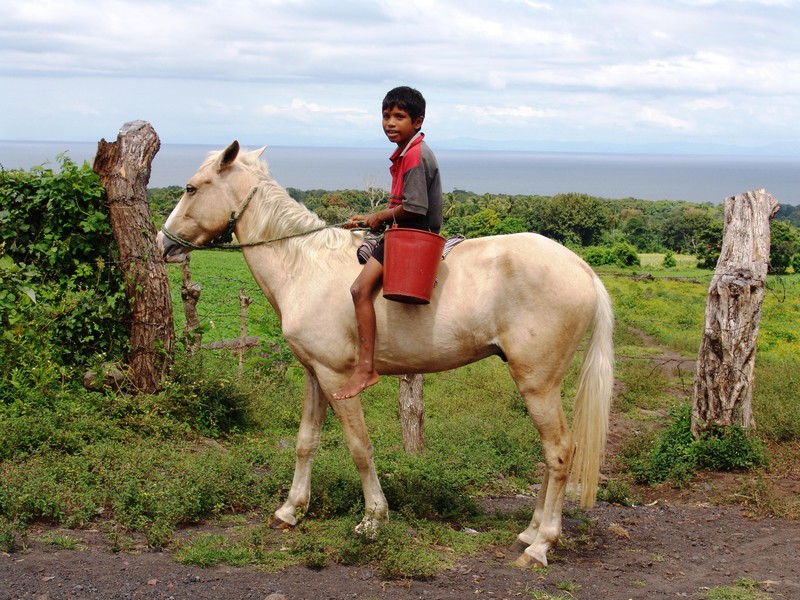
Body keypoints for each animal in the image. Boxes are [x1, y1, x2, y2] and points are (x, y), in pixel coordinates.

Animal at [156, 140, 614, 567]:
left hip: (537, 382)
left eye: (191, 188)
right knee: (551, 452)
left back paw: (541, 544)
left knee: (559, 450)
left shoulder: (338, 378)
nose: (163, 242)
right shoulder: (314, 373)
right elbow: (306, 442)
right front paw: (290, 510)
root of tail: (581, 268)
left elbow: (360, 447)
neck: (305, 266)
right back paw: (530, 531)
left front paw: (373, 519)